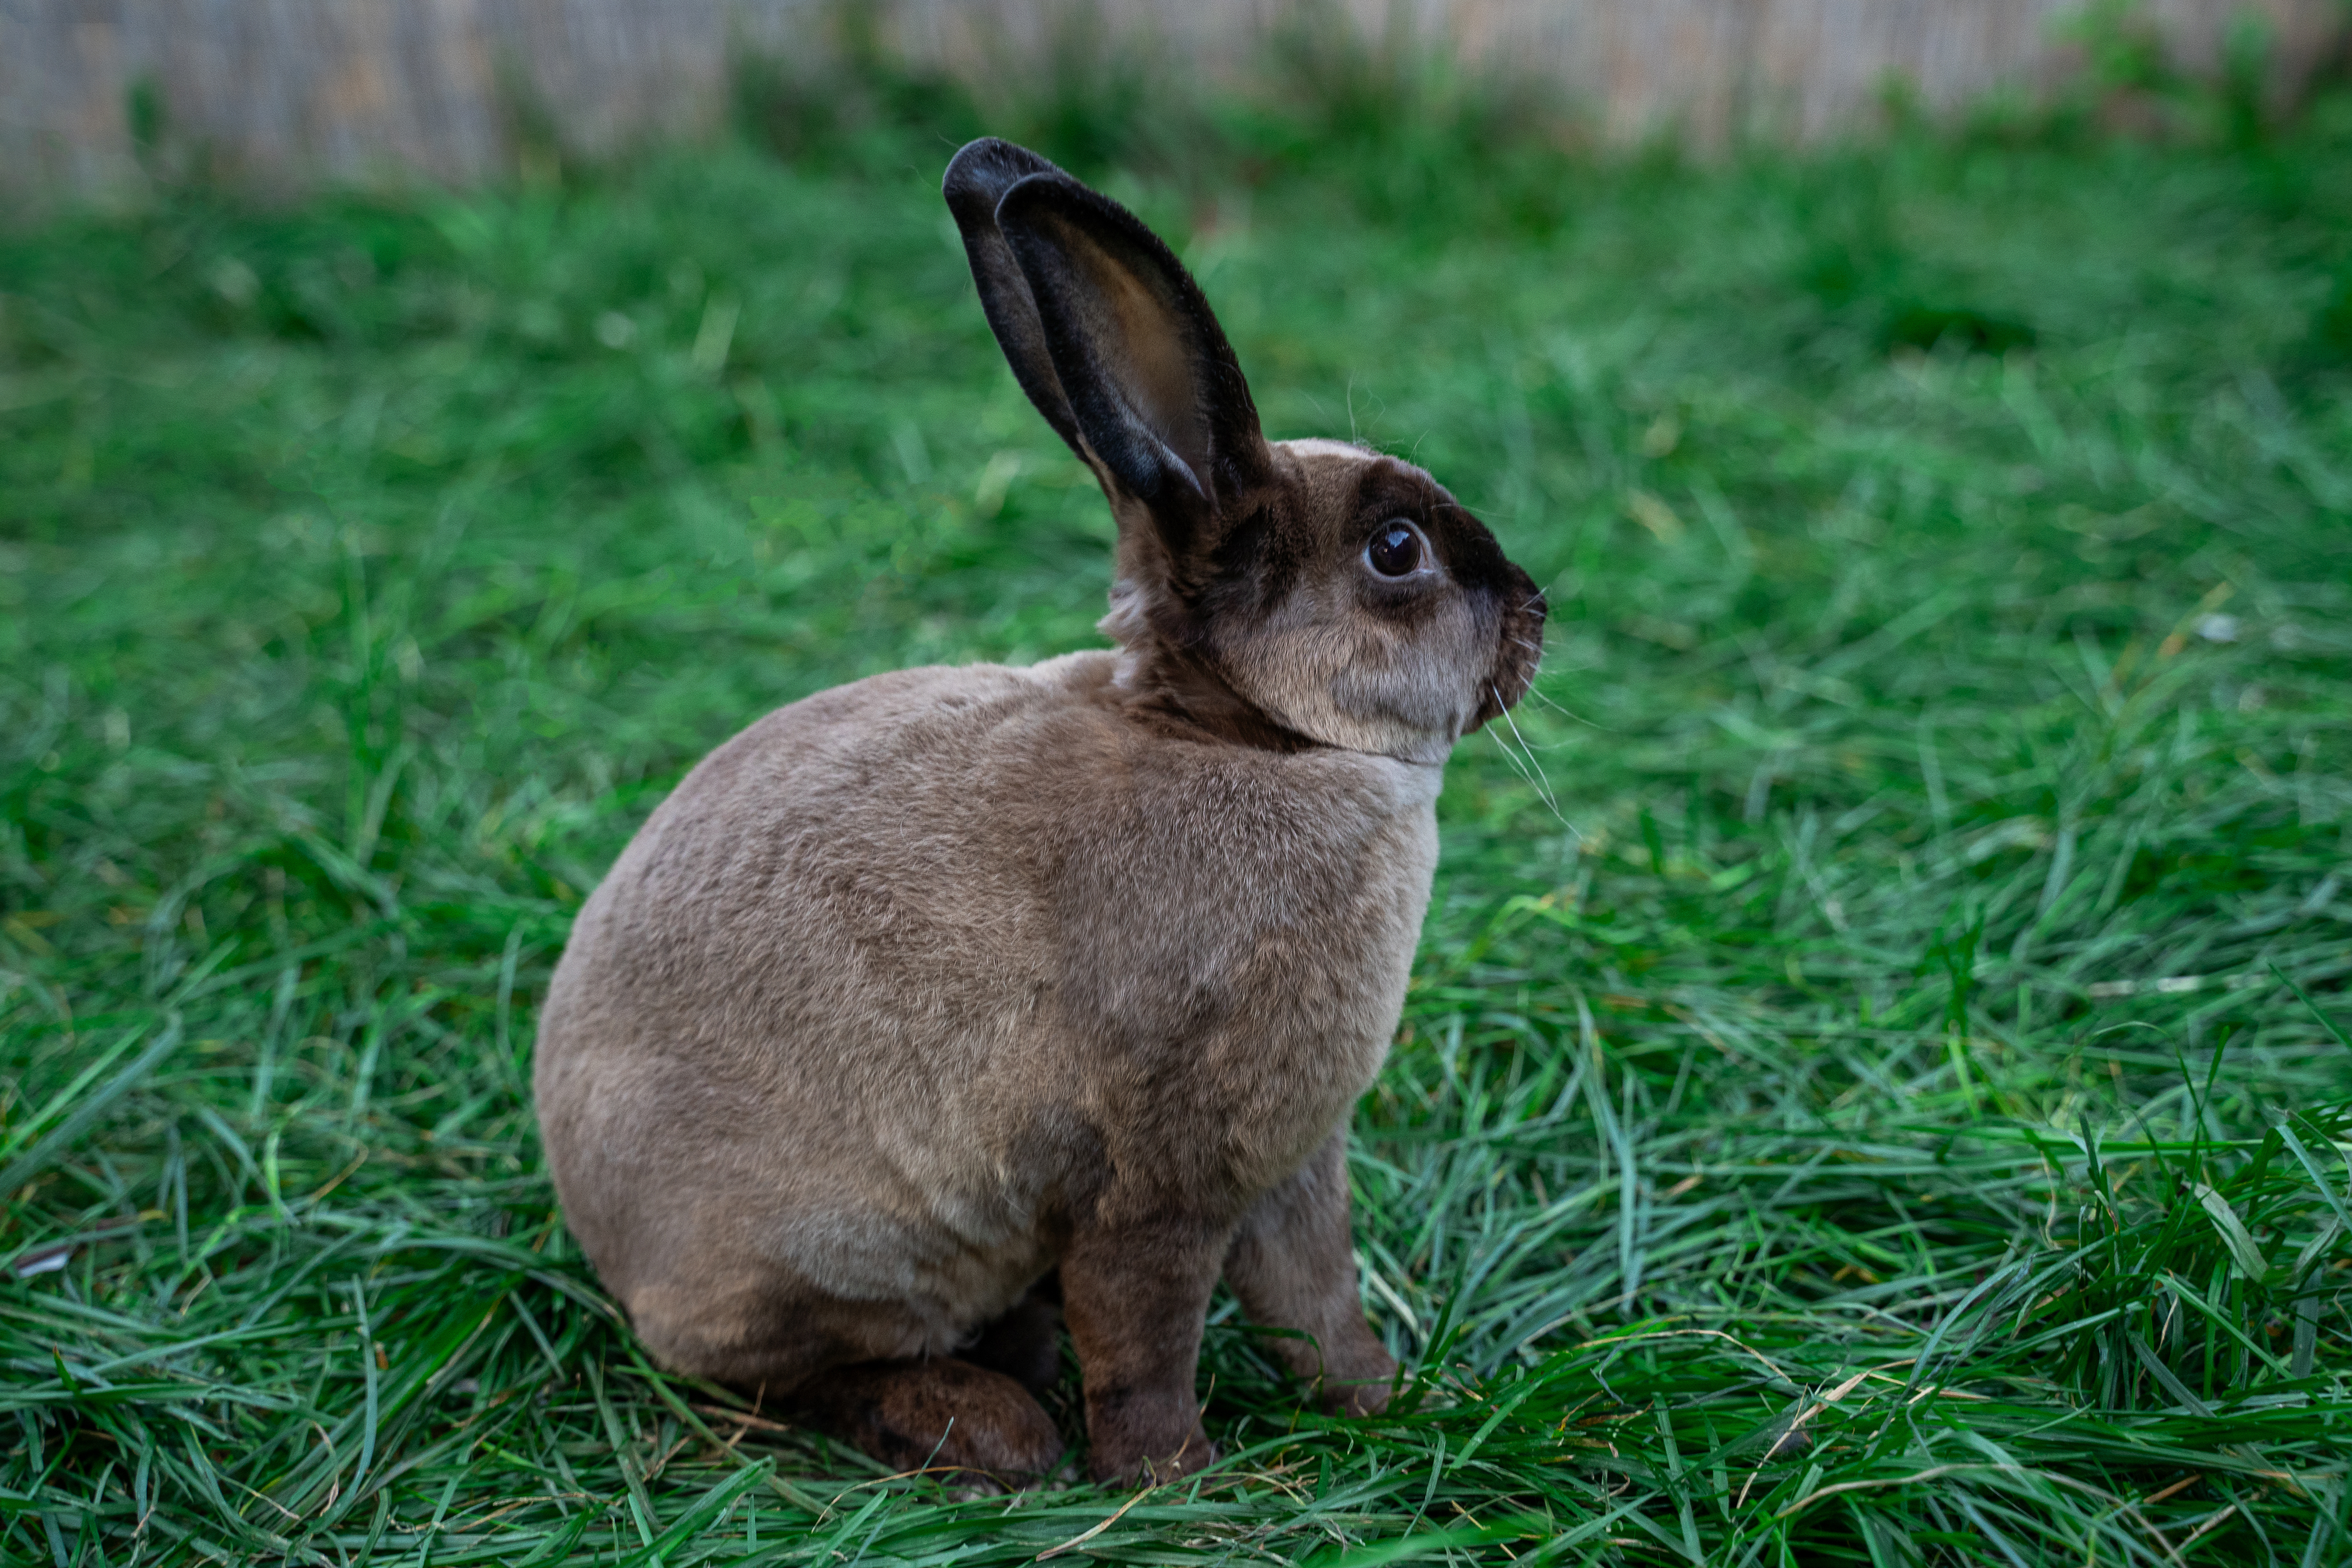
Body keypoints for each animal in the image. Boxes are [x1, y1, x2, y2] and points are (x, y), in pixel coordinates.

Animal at [533, 136, 1545, 1488]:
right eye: (1396, 551)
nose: (1537, 609)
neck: (1249, 737)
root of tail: (610, 1242)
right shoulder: (1157, 1181)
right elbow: (1145, 1336)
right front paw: (1177, 1481)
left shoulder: (1290, 1164)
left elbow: (1316, 1303)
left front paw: (1387, 1401)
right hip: (840, 1254)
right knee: (794, 1374)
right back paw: (993, 1429)